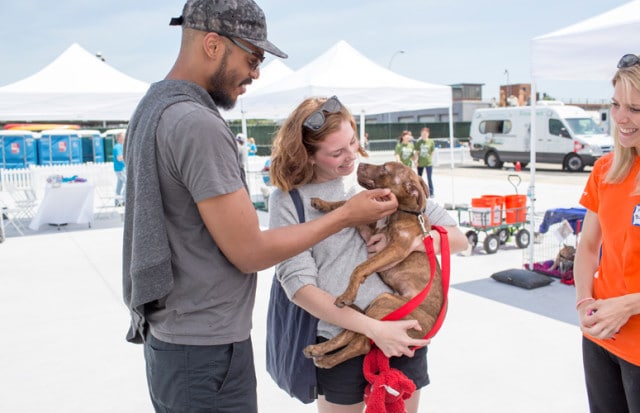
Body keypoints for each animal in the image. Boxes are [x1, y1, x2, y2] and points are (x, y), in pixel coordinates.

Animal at [302, 161, 442, 366]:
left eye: (384, 169)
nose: (359, 163)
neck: (403, 213)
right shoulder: (372, 235)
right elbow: (344, 205)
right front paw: (323, 203)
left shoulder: (395, 249)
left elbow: (360, 268)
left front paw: (348, 294)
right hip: (381, 302)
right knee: (355, 331)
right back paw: (317, 349)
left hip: (386, 303)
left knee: (360, 344)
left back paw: (327, 360)